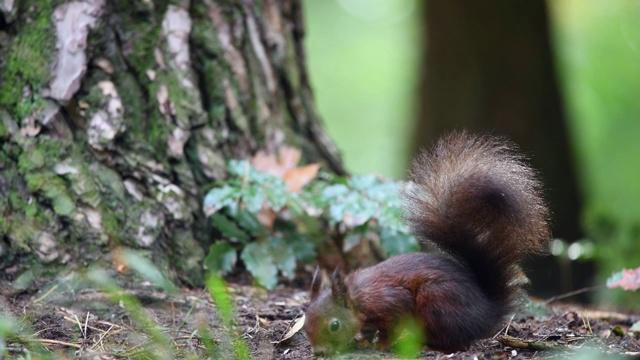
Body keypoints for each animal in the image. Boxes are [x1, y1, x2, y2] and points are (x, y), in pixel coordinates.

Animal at [304, 131, 552, 354]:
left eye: (334, 325)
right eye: (305, 321)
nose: (319, 352)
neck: (357, 298)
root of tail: (487, 313)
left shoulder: (392, 302)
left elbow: (390, 327)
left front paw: (381, 345)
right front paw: (364, 341)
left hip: (436, 301)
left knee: (459, 343)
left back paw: (429, 346)